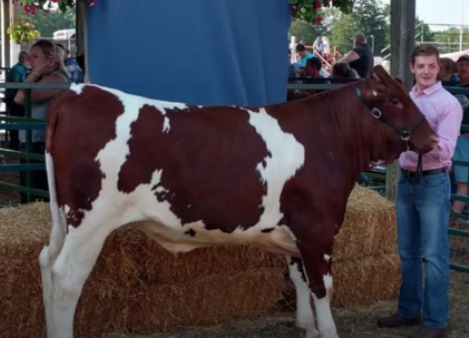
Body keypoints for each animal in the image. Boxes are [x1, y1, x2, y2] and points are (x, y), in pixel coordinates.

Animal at [37, 64, 436, 338]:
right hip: (91, 221)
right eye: (395, 100)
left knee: (46, 262)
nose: (432, 139)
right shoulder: (319, 228)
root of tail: (76, 93)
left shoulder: (297, 231)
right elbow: (322, 287)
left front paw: (305, 326)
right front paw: (326, 331)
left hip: (65, 220)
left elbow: (299, 279)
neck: (328, 137)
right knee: (65, 278)